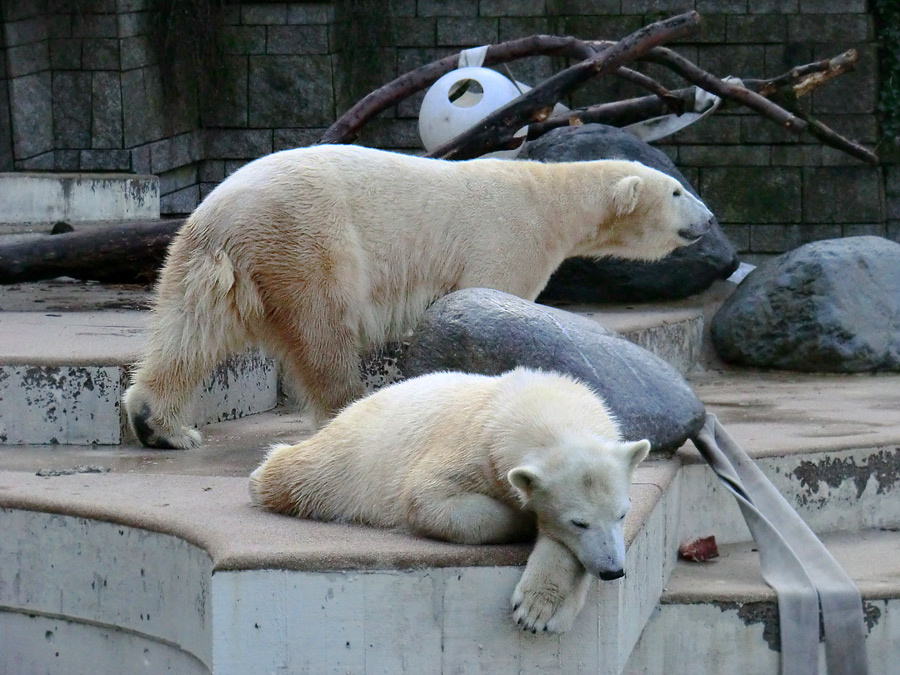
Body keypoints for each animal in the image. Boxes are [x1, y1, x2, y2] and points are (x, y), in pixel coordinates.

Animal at [123, 144, 712, 448]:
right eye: (677, 190)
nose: (709, 219)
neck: (547, 197)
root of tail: (221, 212)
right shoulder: (505, 237)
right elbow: (492, 296)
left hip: (203, 259)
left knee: (188, 333)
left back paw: (161, 425)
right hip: (305, 237)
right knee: (325, 328)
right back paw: (348, 405)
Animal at [250, 364, 652, 632]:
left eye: (622, 514)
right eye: (578, 521)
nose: (614, 570)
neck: (537, 403)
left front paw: (540, 609)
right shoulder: (474, 449)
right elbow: (426, 498)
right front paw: (525, 524)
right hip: (352, 458)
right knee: (299, 476)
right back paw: (262, 476)